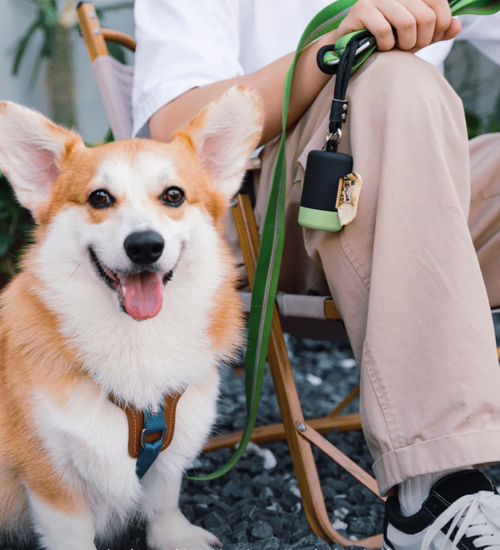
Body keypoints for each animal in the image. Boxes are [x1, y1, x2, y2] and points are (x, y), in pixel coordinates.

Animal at [0, 86, 264, 550]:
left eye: (174, 195)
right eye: (99, 198)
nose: (144, 245)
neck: (138, 339)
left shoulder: (169, 446)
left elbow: (164, 497)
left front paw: (175, 537)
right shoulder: (51, 475)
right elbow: (73, 533)